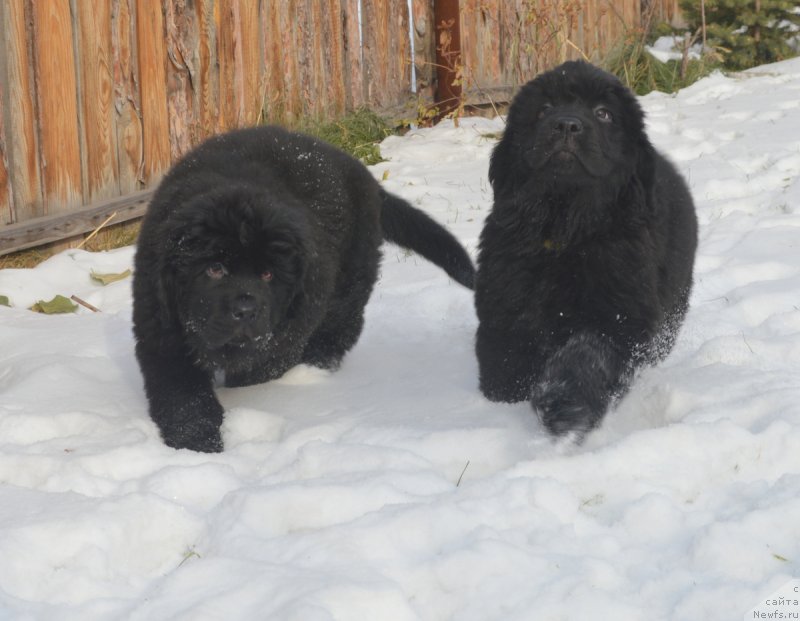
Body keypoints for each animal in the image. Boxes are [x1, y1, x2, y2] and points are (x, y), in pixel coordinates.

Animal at [133, 124, 476, 450]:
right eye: (214, 269)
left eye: (268, 275)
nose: (245, 310)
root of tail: (364, 176)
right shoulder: (163, 328)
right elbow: (184, 398)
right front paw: (196, 444)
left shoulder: (283, 337)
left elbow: (255, 372)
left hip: (351, 273)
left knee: (343, 323)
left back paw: (317, 365)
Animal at [478, 58, 696, 436]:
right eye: (544, 108)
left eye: (603, 113)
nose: (566, 124)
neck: (567, 230)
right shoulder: (505, 296)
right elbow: (506, 352)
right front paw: (505, 395)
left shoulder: (620, 313)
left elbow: (587, 354)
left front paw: (566, 406)